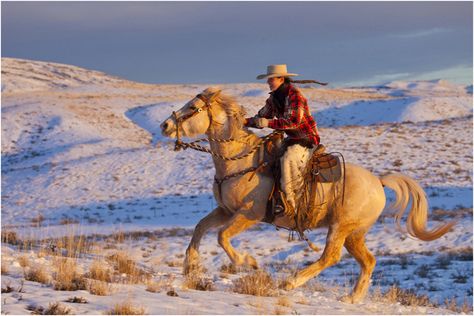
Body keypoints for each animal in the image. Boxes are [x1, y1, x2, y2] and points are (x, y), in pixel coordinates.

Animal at [159, 87, 456, 304]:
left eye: (193, 108)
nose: (165, 125)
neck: (239, 161)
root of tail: (379, 182)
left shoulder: (248, 215)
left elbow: (222, 237)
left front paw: (249, 263)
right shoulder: (226, 211)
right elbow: (200, 228)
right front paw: (190, 266)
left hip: (340, 227)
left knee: (330, 257)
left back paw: (291, 281)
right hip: (354, 234)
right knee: (368, 261)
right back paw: (351, 299)